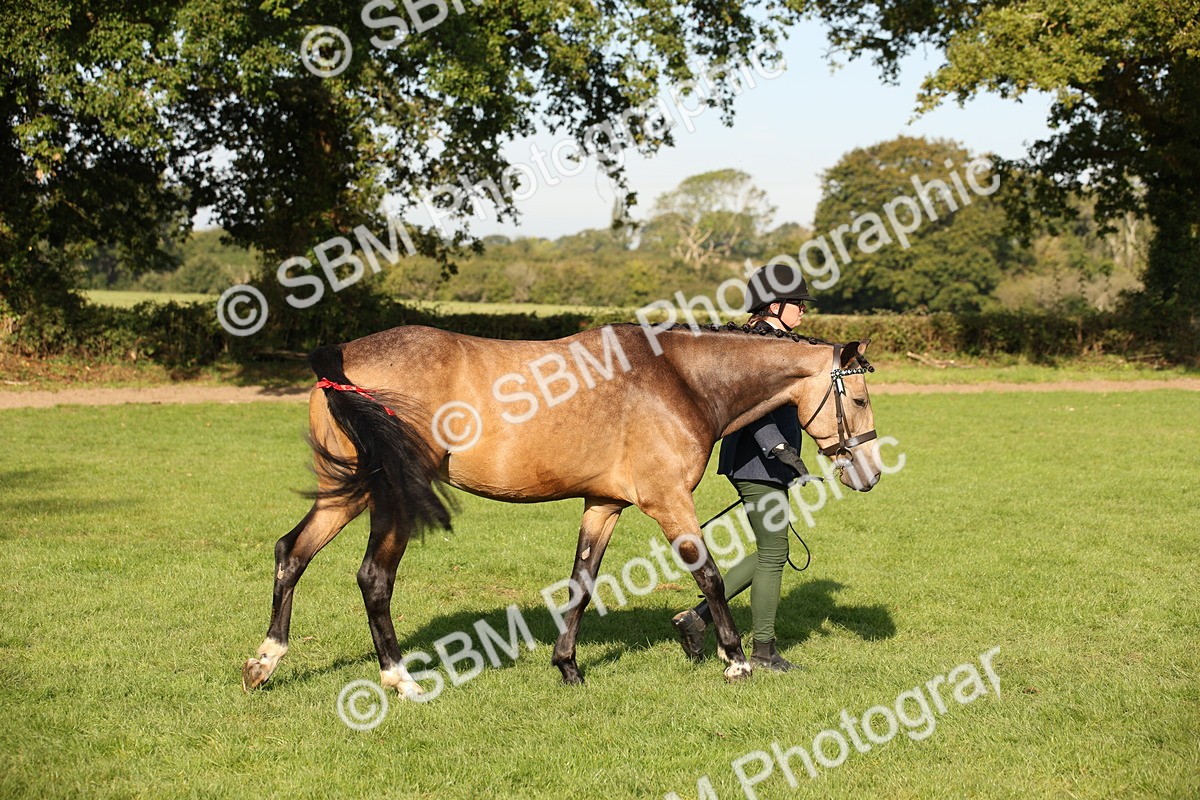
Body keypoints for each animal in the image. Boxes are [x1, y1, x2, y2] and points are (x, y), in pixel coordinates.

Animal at [241, 321, 883, 696]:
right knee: (374, 578)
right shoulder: (668, 502)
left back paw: (265, 663)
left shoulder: (603, 504)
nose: (871, 474)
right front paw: (736, 661)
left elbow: (582, 580)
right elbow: (710, 575)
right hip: (391, 496)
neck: (677, 378)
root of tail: (341, 354)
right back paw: (399, 679)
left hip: (349, 490)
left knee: (291, 552)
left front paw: (568, 666)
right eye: (858, 396)